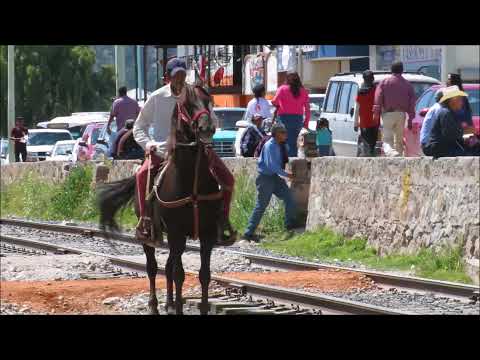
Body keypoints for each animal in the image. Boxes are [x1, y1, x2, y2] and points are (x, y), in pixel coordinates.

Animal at [98, 85, 225, 316]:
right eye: (187, 104)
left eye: (208, 101)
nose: (207, 127)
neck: (191, 180)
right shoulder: (176, 232)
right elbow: (179, 274)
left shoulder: (207, 234)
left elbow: (204, 274)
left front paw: (195, 307)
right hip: (149, 234)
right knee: (153, 267)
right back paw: (154, 305)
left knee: (167, 266)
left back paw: (169, 304)